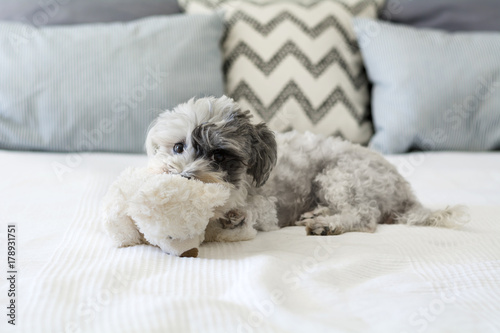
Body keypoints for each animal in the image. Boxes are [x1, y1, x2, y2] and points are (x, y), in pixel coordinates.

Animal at [146, 95, 468, 241]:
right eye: (178, 147)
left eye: (220, 156)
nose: (185, 176)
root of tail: (404, 191)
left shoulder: (267, 210)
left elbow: (252, 213)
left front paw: (235, 216)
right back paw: (317, 214)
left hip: (339, 176)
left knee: (364, 216)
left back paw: (327, 223)